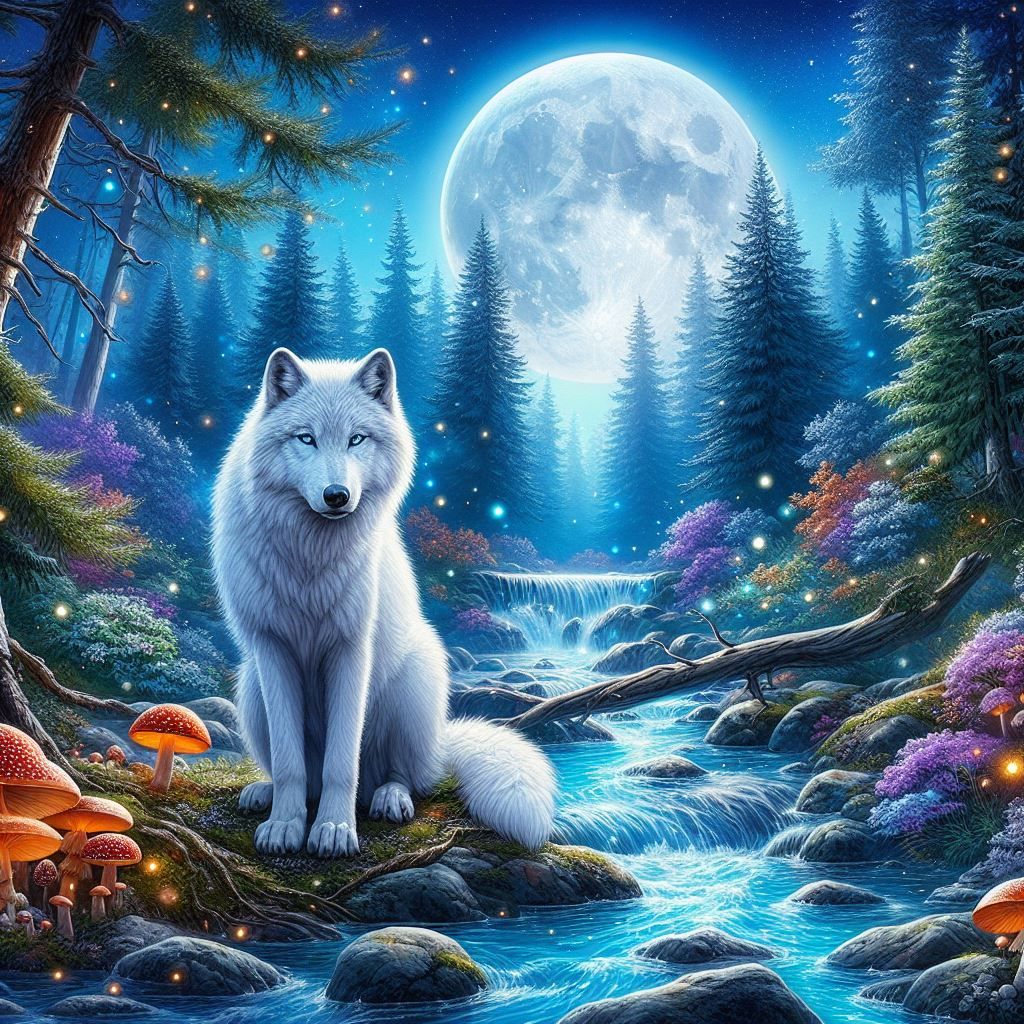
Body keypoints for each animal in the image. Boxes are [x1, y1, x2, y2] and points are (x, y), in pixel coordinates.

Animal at [212, 347, 556, 857]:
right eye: (306, 439)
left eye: (356, 439)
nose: (337, 496)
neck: (309, 557)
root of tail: (440, 748)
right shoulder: (271, 646)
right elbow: (291, 762)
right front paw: (286, 826)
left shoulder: (352, 649)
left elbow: (342, 762)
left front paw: (334, 830)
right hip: (251, 687)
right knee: (299, 772)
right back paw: (264, 792)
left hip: (415, 682)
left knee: (402, 777)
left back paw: (389, 798)